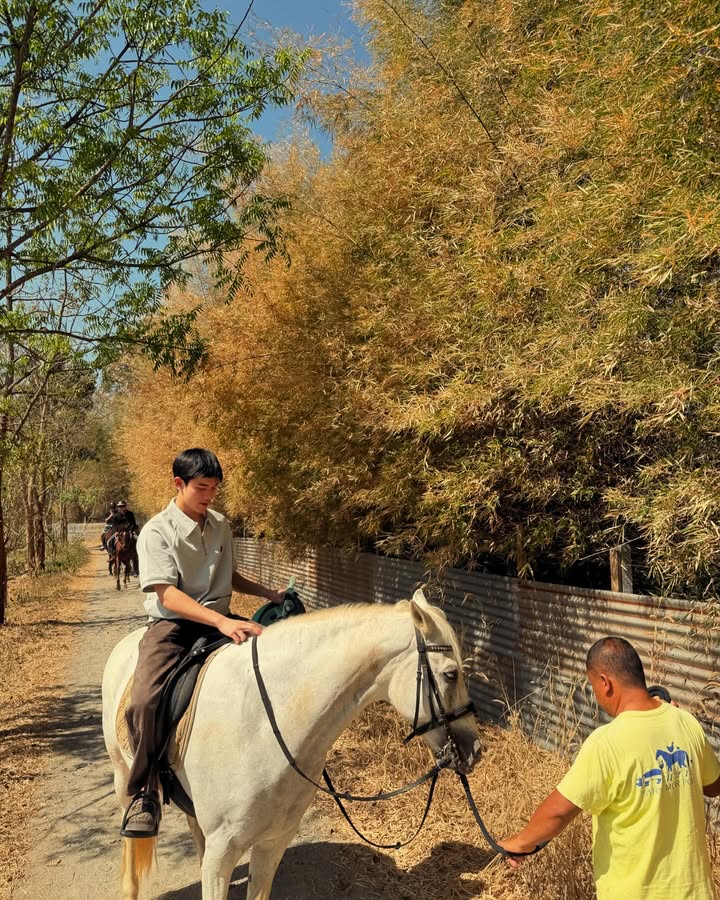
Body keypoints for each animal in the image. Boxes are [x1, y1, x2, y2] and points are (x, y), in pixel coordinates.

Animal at [101, 592, 480, 900]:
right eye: (451, 675)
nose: (474, 749)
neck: (265, 727)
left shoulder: (273, 844)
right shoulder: (223, 853)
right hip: (123, 777)